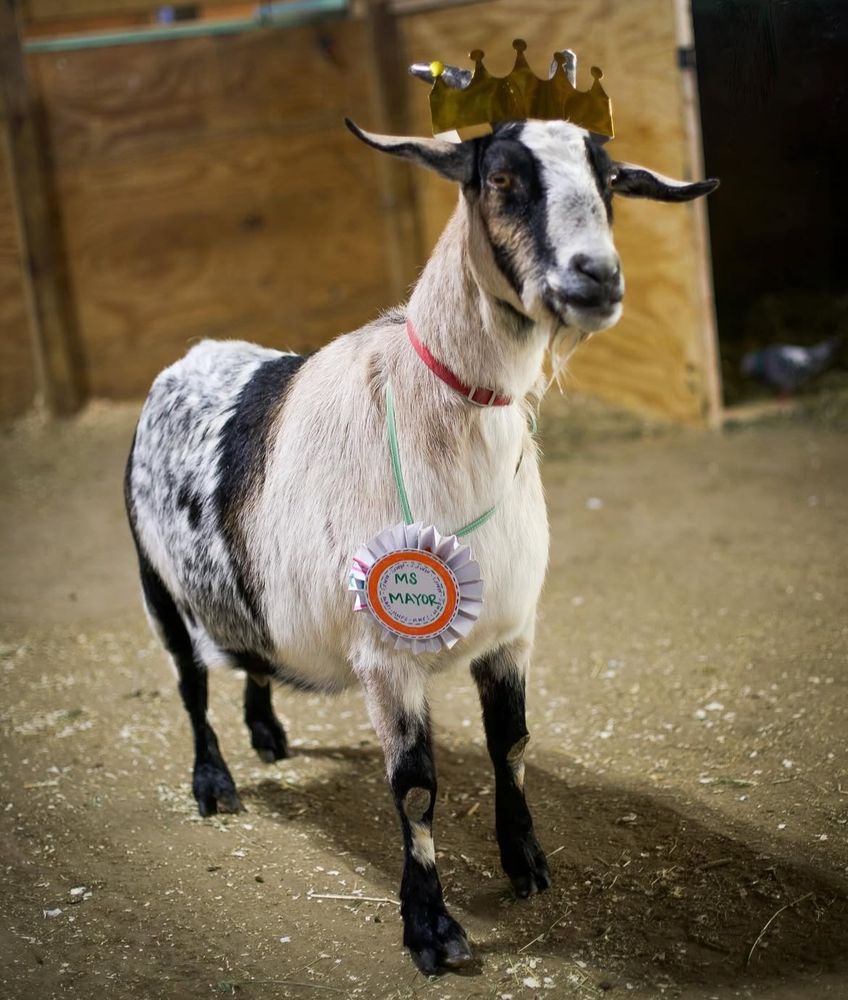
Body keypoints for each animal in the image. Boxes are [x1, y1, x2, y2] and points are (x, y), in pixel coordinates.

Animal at [125, 88, 717, 972]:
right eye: (501, 178)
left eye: (610, 179)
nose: (598, 277)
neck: (437, 415)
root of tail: (188, 357)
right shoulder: (385, 655)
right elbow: (415, 788)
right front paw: (432, 928)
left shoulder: (511, 629)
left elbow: (512, 746)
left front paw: (526, 862)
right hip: (157, 584)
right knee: (190, 683)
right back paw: (215, 783)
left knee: (251, 655)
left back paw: (268, 734)